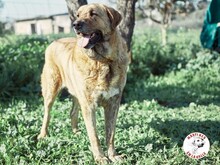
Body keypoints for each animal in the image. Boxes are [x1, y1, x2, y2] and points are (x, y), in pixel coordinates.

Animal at [37, 3, 130, 163]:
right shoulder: (89, 105)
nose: (75, 24)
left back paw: (76, 133)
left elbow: (110, 134)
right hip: (51, 91)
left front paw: (113, 155)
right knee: (47, 114)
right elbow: (94, 135)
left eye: (93, 13)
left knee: (72, 112)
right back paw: (43, 135)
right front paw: (100, 158)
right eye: (78, 15)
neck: (103, 61)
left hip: (77, 95)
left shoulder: (113, 104)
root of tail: (54, 42)